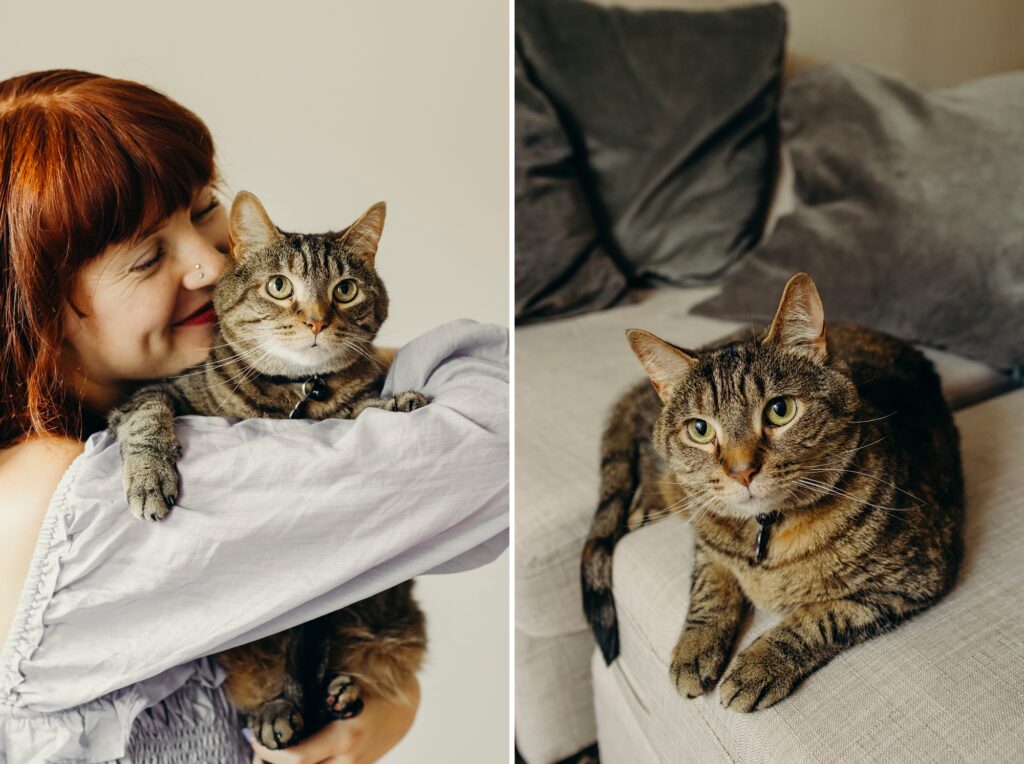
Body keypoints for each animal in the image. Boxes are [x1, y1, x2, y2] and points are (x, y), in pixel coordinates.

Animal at [111, 190, 428, 745]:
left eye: (345, 290)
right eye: (280, 286)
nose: (317, 321)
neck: (294, 396)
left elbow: (364, 405)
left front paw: (398, 403)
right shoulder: (158, 392)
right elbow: (148, 414)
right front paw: (150, 480)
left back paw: (337, 691)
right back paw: (277, 709)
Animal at [581, 272, 962, 708]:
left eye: (780, 410)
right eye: (700, 429)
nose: (742, 471)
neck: (765, 535)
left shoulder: (912, 577)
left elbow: (819, 618)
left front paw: (758, 665)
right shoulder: (707, 546)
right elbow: (708, 592)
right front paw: (694, 647)